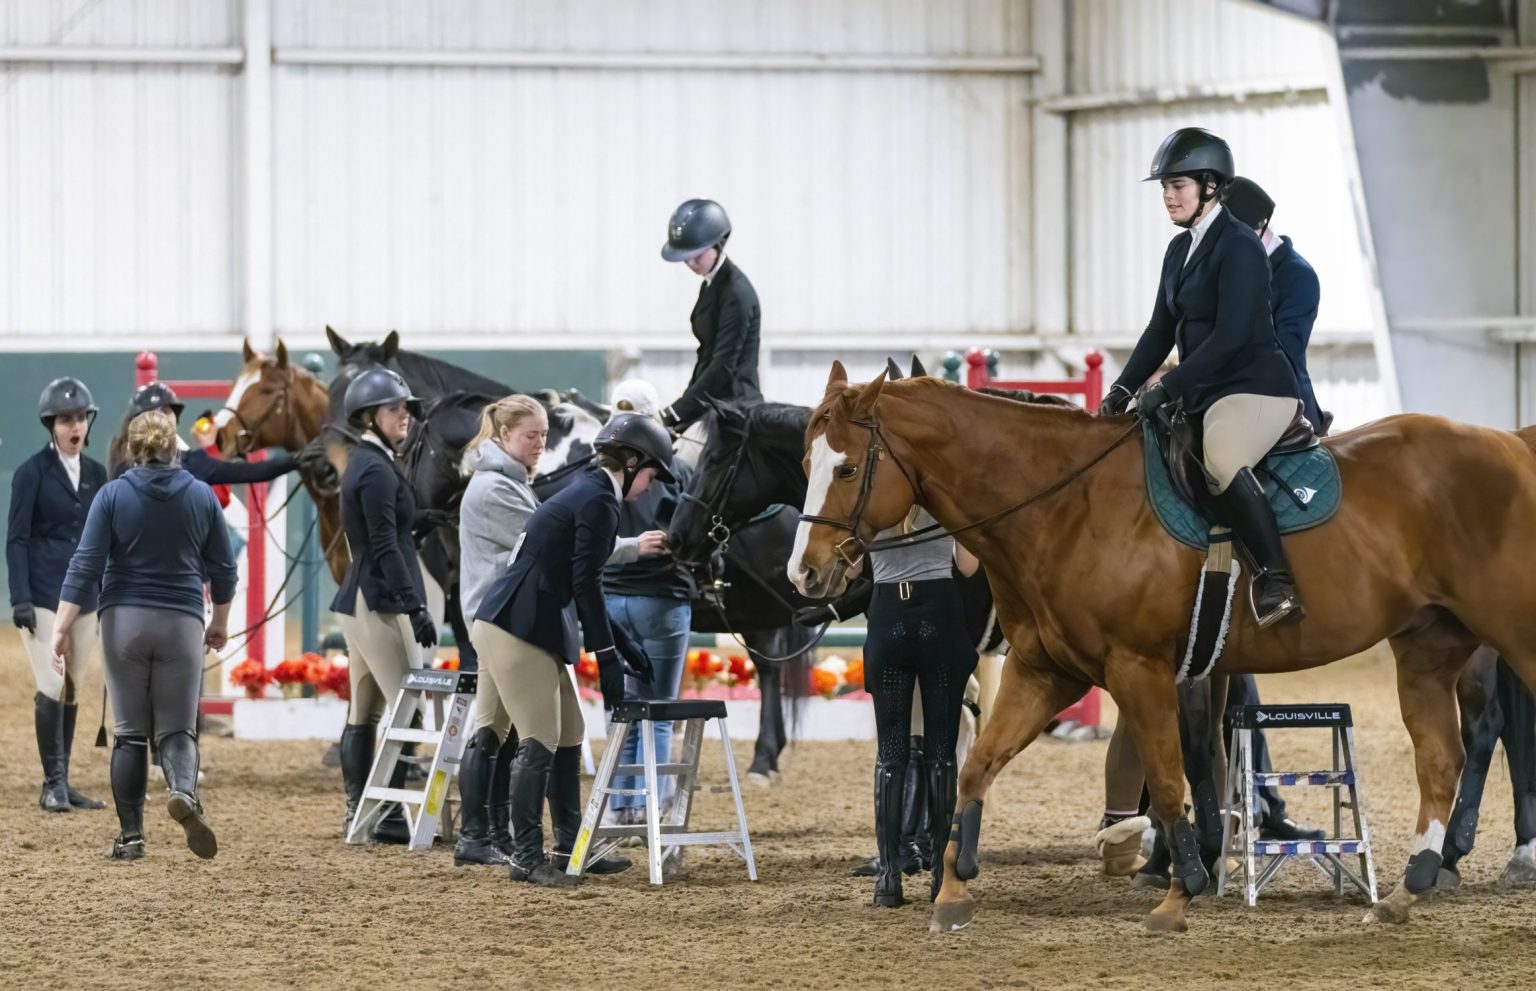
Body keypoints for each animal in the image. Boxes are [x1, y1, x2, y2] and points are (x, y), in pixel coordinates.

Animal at [787, 361, 1536, 934]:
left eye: (847, 469)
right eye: (803, 462)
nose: (804, 574)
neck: (1066, 506)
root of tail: (1513, 445)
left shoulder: (1141, 669)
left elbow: (1173, 781)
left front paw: (1180, 893)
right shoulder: (1043, 672)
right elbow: (977, 768)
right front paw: (953, 889)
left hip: (1511, 634)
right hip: (1428, 647)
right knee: (1442, 757)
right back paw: (1410, 886)